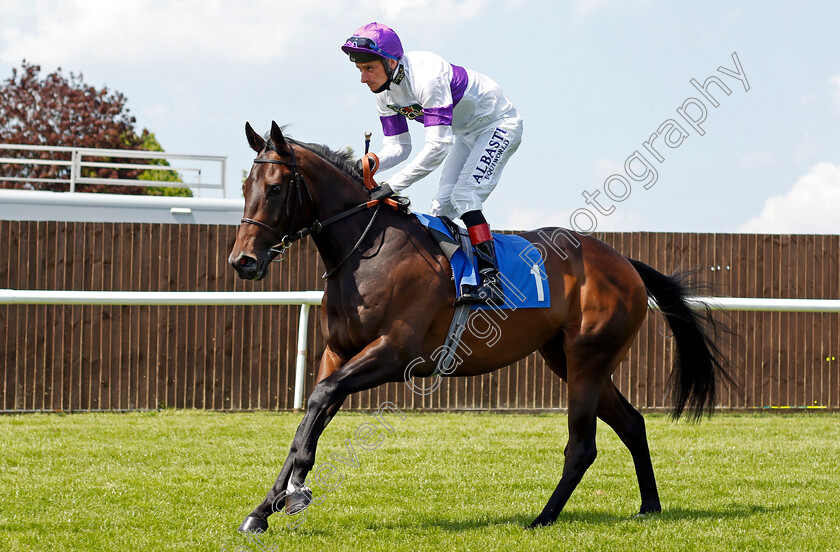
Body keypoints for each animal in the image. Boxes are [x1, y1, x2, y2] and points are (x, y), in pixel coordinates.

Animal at [228, 122, 728, 536]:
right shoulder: (338, 352)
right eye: (245, 186)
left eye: (275, 188)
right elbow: (309, 419)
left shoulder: (395, 353)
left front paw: (295, 492)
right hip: (569, 359)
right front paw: (264, 508)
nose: (243, 262)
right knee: (632, 423)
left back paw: (542, 518)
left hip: (589, 358)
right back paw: (649, 506)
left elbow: (319, 400)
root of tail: (624, 262)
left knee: (582, 446)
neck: (369, 250)